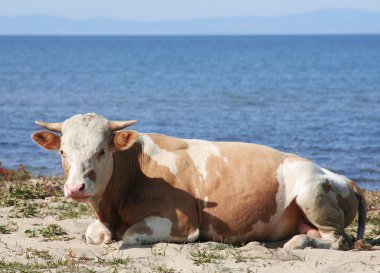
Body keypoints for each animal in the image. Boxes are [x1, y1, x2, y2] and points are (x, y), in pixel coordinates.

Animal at [31, 112, 366, 249]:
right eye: (62, 151)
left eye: (102, 151)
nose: (76, 188)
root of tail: (345, 179)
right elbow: (93, 234)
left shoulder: (180, 221)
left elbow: (130, 236)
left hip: (312, 192)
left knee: (339, 240)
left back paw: (296, 243)